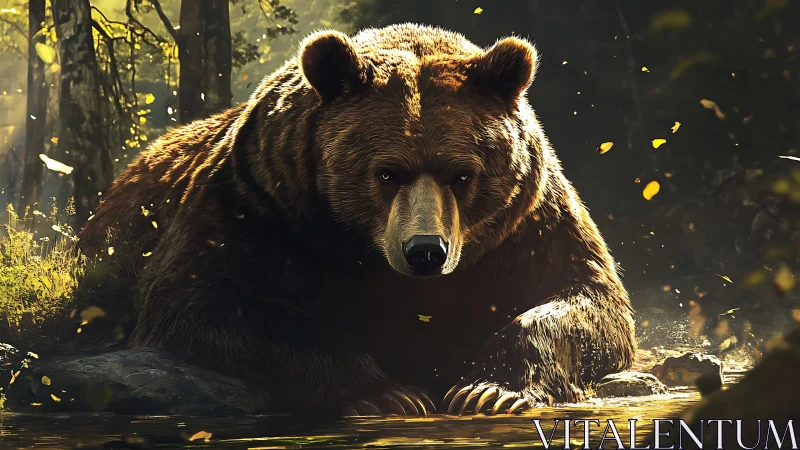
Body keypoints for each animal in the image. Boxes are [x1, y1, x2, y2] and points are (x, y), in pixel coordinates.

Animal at [77, 23, 636, 416]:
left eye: (462, 174)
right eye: (387, 172)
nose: (425, 251)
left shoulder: (527, 223)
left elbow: (585, 298)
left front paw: (490, 390)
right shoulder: (257, 204)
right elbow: (203, 299)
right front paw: (389, 392)